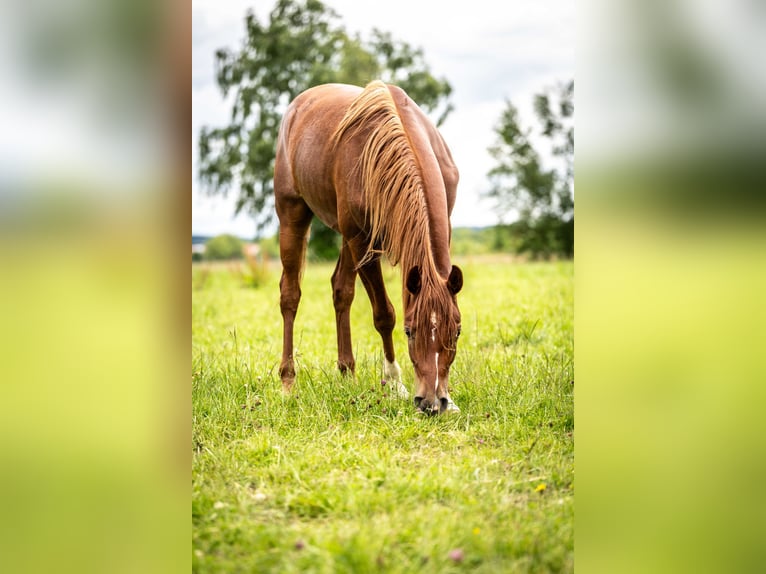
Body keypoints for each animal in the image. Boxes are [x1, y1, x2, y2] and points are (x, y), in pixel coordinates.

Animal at [278, 80, 468, 414]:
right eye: (409, 331)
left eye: (456, 330)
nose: (433, 402)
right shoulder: (362, 242)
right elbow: (384, 314)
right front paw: (395, 383)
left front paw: (451, 399)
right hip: (292, 214)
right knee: (290, 295)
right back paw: (288, 383)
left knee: (341, 290)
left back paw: (347, 374)